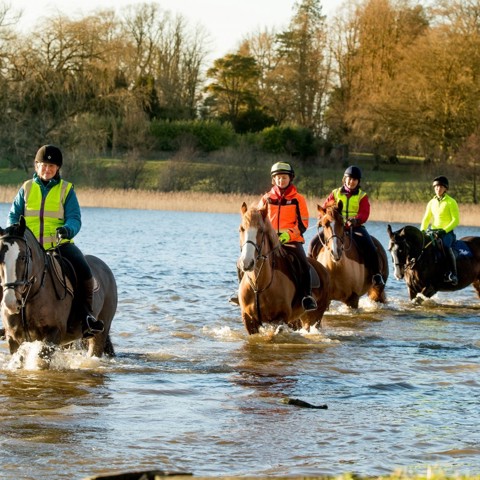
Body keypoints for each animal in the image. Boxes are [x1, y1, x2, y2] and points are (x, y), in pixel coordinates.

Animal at [0, 216, 117, 358]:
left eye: (23, 257)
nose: (10, 303)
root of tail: (105, 267)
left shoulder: (54, 332)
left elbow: (41, 358)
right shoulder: (13, 338)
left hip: (100, 332)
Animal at [236, 202, 330, 334]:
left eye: (261, 230)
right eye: (241, 229)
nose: (246, 263)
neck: (259, 284)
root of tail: (323, 269)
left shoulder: (279, 319)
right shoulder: (249, 320)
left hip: (314, 317)